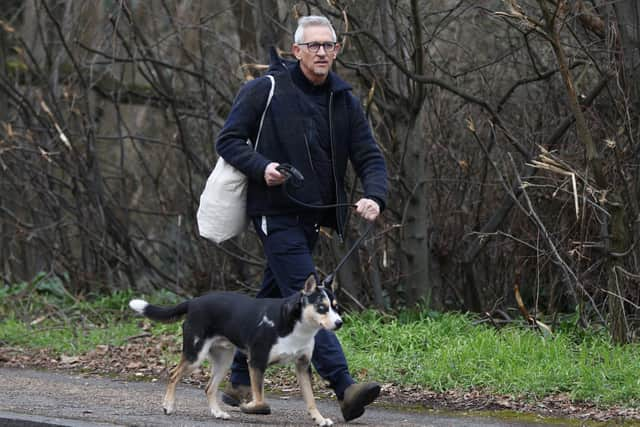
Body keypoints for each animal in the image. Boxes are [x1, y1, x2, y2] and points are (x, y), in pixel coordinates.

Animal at [127, 276, 342, 426]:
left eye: (335, 307)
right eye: (321, 307)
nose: (340, 323)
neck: (296, 326)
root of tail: (194, 301)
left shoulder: (303, 366)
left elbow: (311, 399)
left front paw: (319, 419)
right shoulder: (256, 362)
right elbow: (260, 399)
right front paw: (249, 406)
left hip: (224, 361)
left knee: (209, 388)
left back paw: (217, 413)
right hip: (195, 355)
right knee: (173, 375)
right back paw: (168, 405)